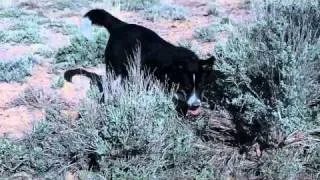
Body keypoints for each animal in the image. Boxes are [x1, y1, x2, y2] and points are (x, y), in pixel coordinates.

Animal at [64, 8, 215, 115]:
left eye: (201, 86)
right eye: (187, 87)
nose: (196, 105)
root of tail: (120, 26)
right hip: (114, 69)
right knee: (108, 85)